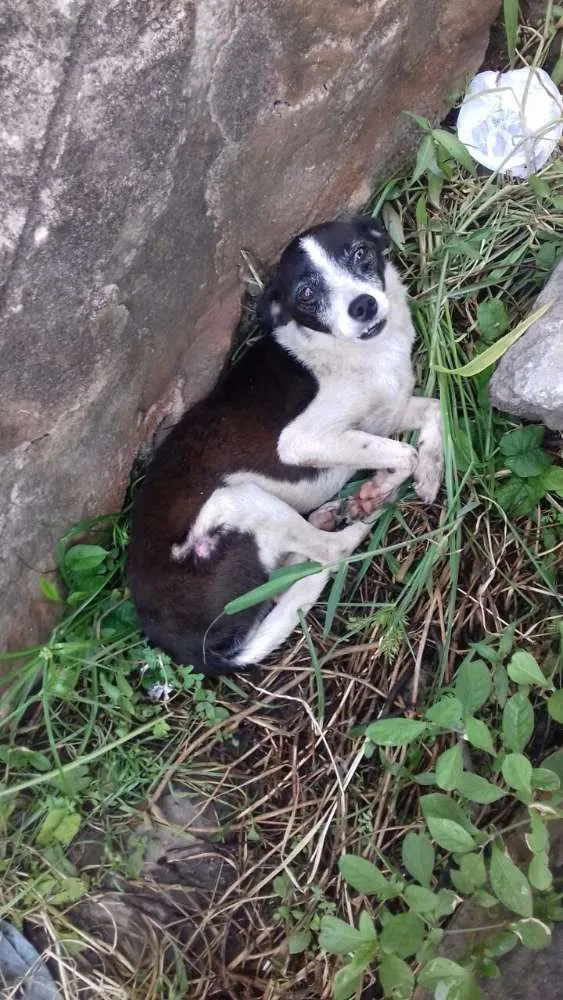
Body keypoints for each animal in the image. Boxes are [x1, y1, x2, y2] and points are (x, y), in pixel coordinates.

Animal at [128, 217, 446, 672]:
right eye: (306, 295)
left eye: (361, 253)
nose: (363, 306)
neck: (362, 352)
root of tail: (186, 647)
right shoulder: (302, 440)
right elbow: (403, 452)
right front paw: (380, 487)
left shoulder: (381, 414)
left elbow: (434, 412)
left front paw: (429, 474)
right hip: (238, 501)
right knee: (331, 553)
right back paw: (359, 517)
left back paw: (335, 513)